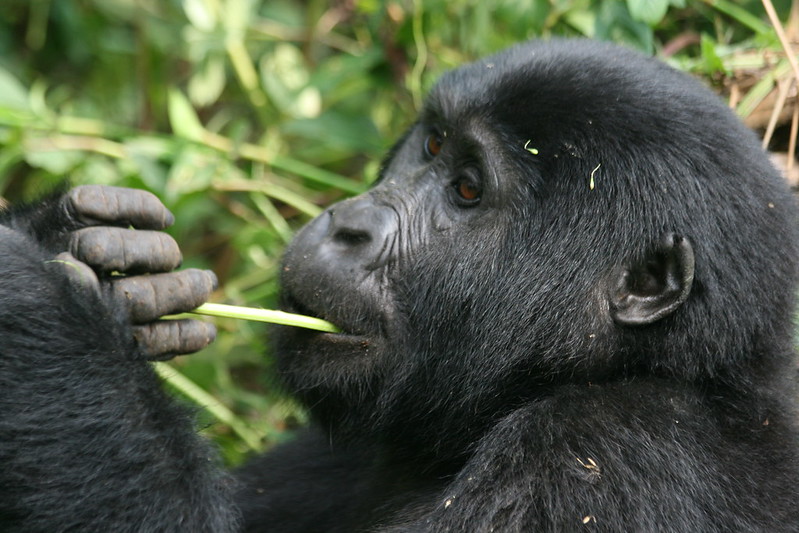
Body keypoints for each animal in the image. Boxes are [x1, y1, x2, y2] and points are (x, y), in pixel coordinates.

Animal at [1, 38, 799, 532]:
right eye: (433, 143)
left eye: (468, 188)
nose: (346, 223)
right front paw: (70, 235)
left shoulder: (606, 453)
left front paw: (37, 304)